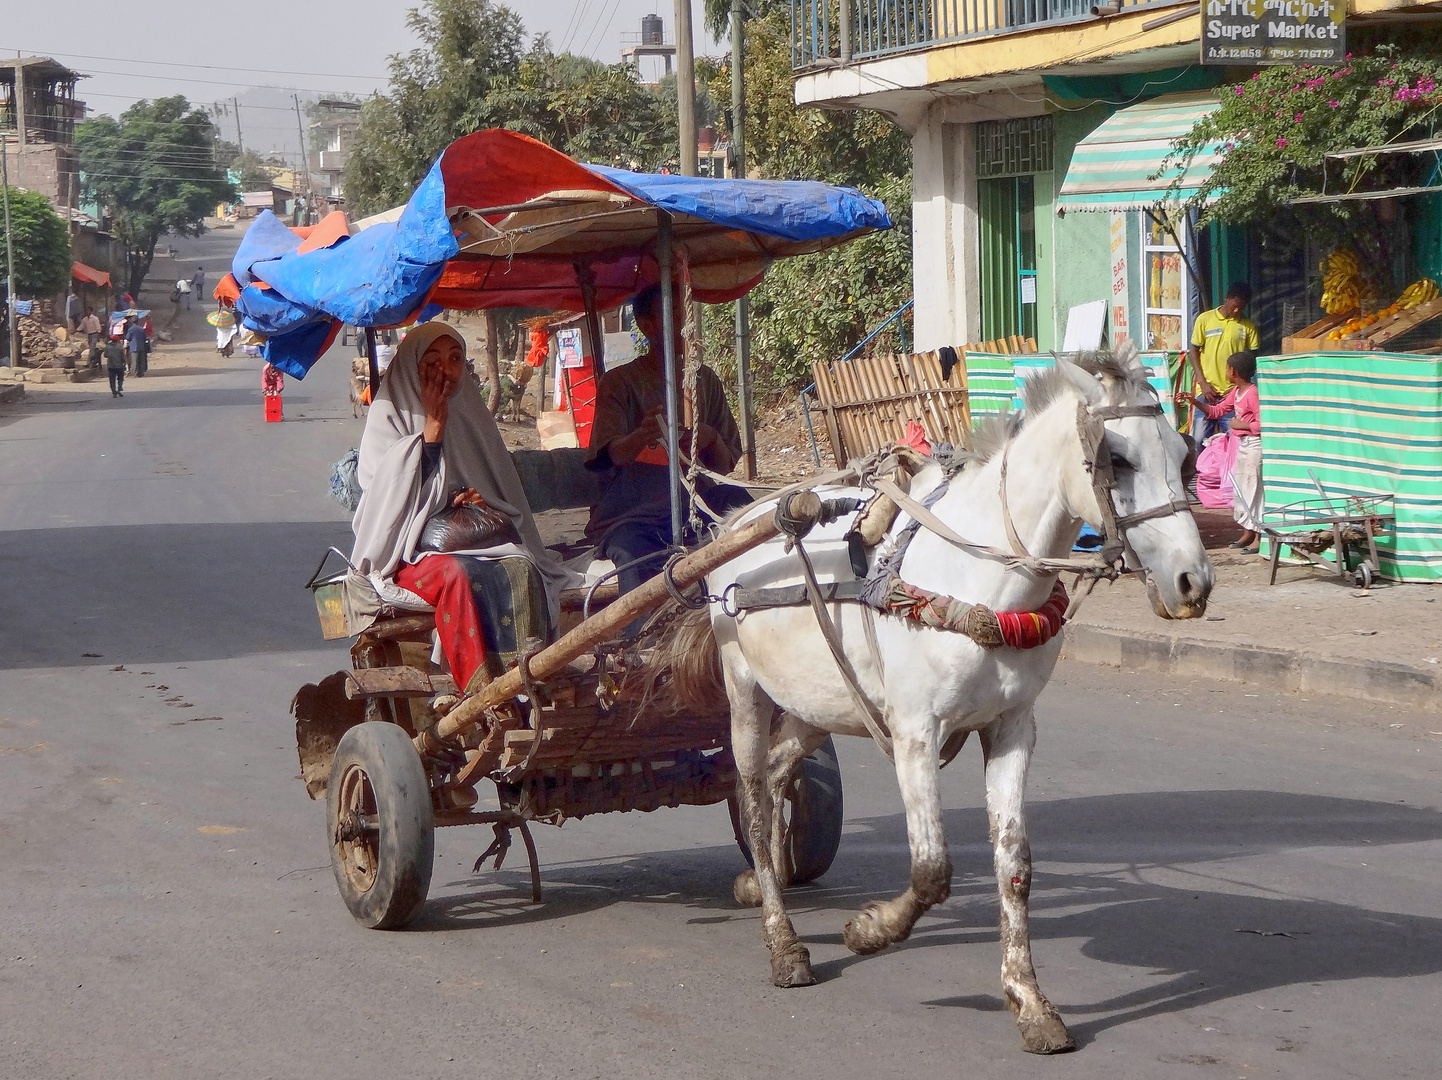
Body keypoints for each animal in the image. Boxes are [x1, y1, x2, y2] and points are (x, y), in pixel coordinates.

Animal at [692, 353, 1211, 1055]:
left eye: (1184, 455)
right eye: (1120, 459)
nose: (1194, 583)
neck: (982, 577)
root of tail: (746, 515)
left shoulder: (1013, 728)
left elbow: (1015, 866)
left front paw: (1029, 1001)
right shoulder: (915, 731)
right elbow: (932, 869)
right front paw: (870, 930)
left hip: (820, 702)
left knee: (775, 778)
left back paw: (761, 877)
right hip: (744, 686)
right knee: (749, 795)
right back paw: (783, 941)